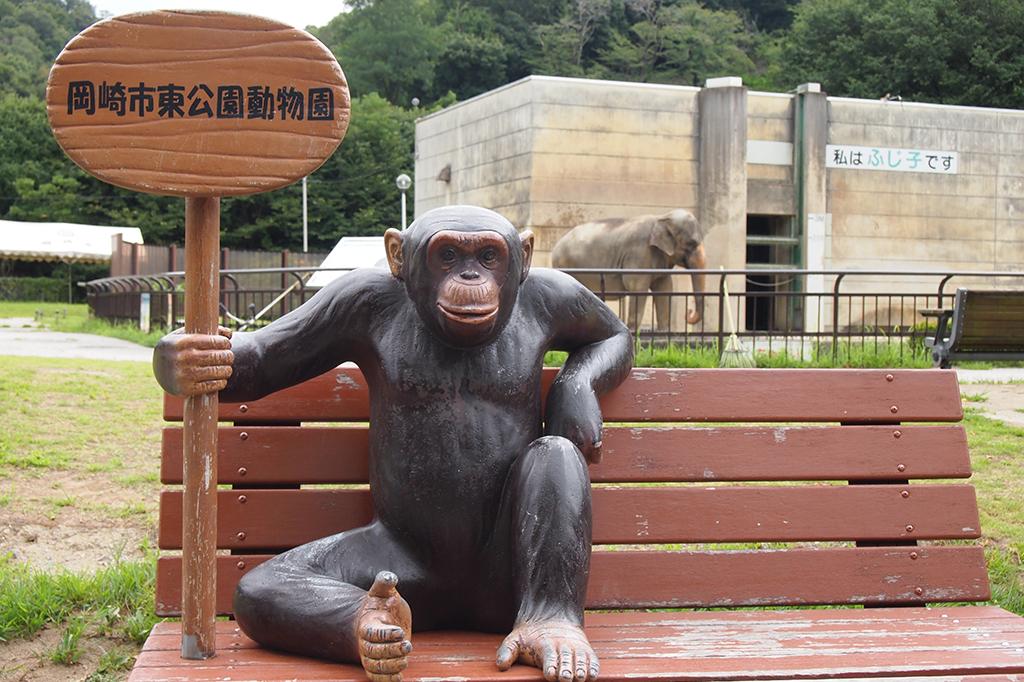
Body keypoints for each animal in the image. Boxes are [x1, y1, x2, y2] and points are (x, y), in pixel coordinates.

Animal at [552, 209, 704, 331]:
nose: (689, 312)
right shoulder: (639, 253)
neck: (661, 218)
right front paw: (632, 330)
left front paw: (664, 332)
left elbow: (664, 288)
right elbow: (637, 287)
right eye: (691, 243)